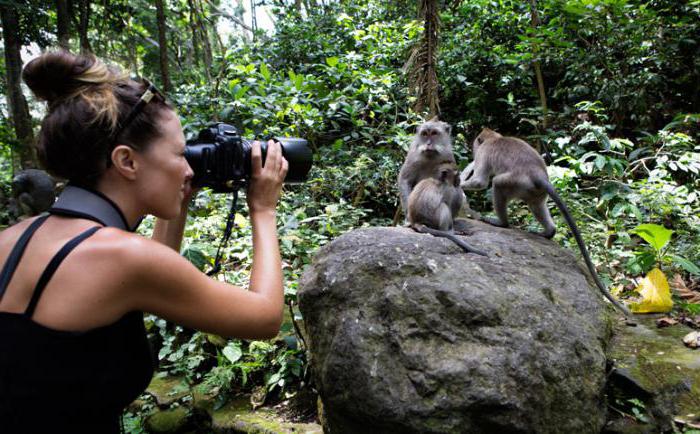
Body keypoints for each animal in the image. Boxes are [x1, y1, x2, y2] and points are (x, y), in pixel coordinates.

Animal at [462, 127, 632, 314]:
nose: (472, 149)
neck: (494, 138)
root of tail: (538, 175)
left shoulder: (484, 154)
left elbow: (480, 182)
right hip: (534, 191)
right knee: (536, 206)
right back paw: (549, 232)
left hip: (515, 182)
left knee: (498, 183)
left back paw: (501, 223)